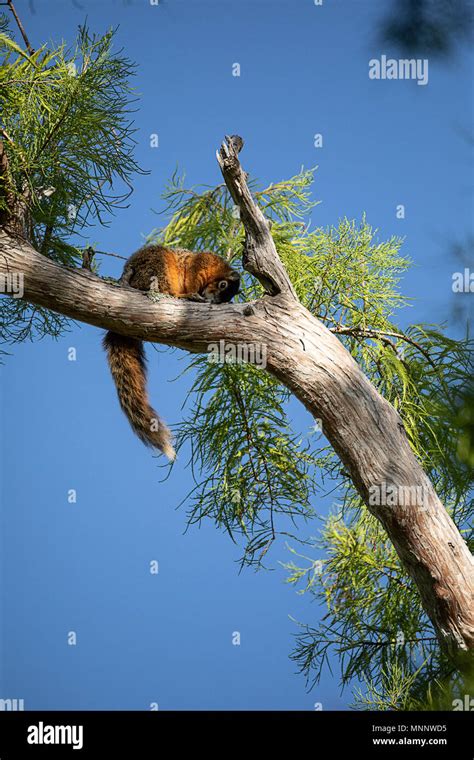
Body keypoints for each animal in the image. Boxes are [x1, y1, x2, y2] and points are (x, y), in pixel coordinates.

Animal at [102, 245, 239, 458]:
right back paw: (184, 296)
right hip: (156, 266)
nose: (215, 301)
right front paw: (194, 293)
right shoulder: (202, 263)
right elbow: (192, 275)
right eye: (223, 285)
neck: (217, 271)